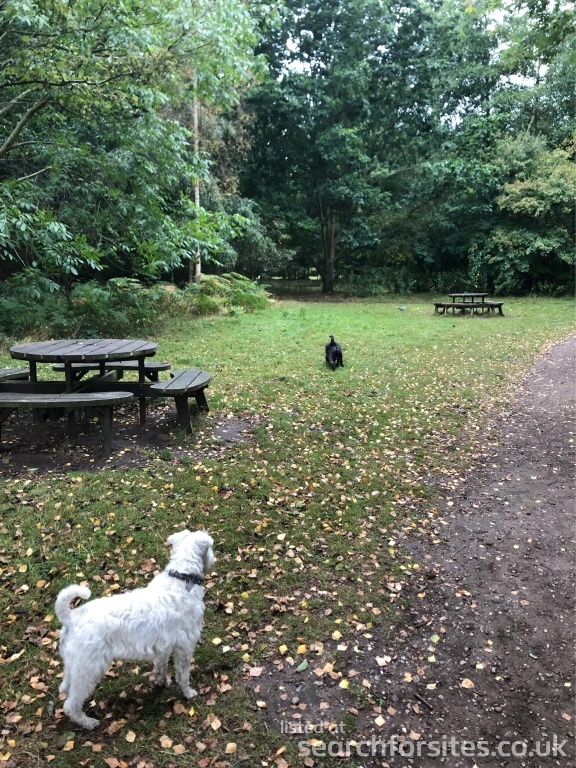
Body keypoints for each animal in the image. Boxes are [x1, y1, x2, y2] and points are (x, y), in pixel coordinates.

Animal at [55, 529, 215, 730]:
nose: (214, 560)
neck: (182, 577)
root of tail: (71, 617)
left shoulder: (164, 645)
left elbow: (161, 667)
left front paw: (162, 682)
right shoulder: (185, 646)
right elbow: (183, 674)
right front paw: (188, 693)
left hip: (74, 666)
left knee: (66, 686)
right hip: (88, 669)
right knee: (71, 704)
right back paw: (89, 723)